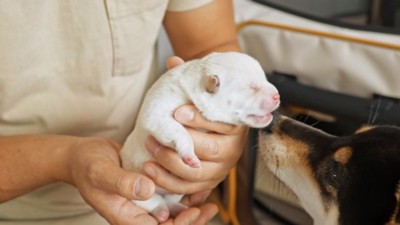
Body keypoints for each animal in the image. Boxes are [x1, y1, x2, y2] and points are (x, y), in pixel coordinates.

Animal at [120, 51, 280, 222]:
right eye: (252, 88)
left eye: (264, 78)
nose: (277, 95)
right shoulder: (158, 111)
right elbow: (177, 130)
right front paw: (190, 156)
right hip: (142, 185)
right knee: (150, 201)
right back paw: (161, 211)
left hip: (175, 192)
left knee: (169, 200)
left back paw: (176, 208)